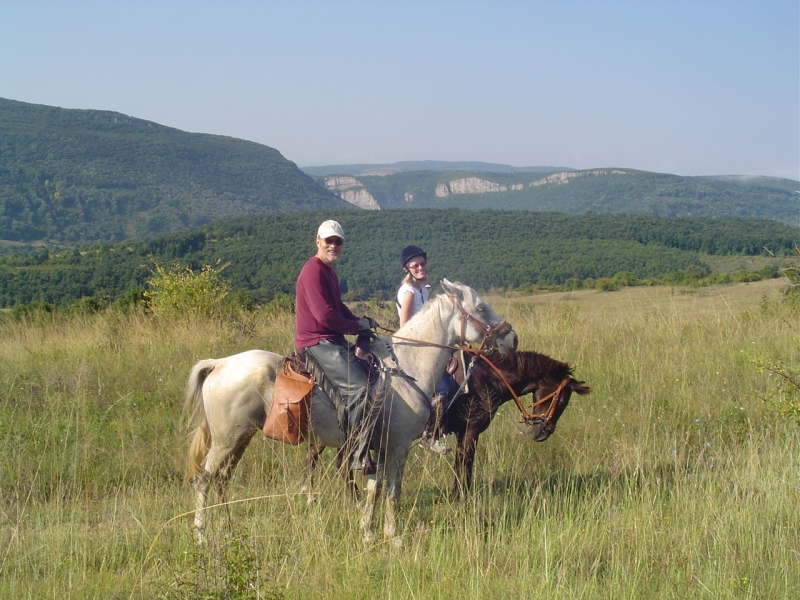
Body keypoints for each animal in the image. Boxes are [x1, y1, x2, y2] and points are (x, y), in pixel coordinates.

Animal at [184, 278, 516, 548]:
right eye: (481, 307)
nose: (511, 339)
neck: (407, 367)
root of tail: (219, 363)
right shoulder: (397, 448)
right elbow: (391, 491)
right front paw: (393, 537)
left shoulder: (378, 449)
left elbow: (374, 488)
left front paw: (368, 531)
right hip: (226, 440)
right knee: (204, 479)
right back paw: (201, 535)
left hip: (240, 438)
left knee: (222, 480)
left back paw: (227, 528)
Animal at [304, 350, 592, 500]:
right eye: (560, 398)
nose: (542, 433)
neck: (486, 379)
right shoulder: (471, 430)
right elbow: (465, 461)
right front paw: (461, 495)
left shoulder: (463, 432)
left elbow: (459, 462)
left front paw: (457, 493)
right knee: (341, 463)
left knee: (319, 457)